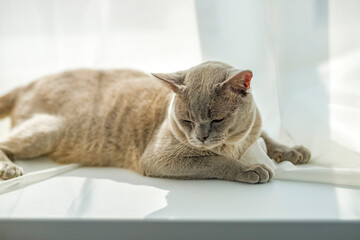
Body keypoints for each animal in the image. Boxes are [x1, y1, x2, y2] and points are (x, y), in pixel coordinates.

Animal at [0, 61, 310, 183]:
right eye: (187, 121)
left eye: (217, 119)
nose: (201, 137)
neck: (234, 143)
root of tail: (28, 83)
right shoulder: (160, 158)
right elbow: (217, 161)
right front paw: (251, 169)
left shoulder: (253, 129)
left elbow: (266, 137)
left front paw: (293, 151)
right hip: (48, 130)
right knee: (5, 143)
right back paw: (9, 169)